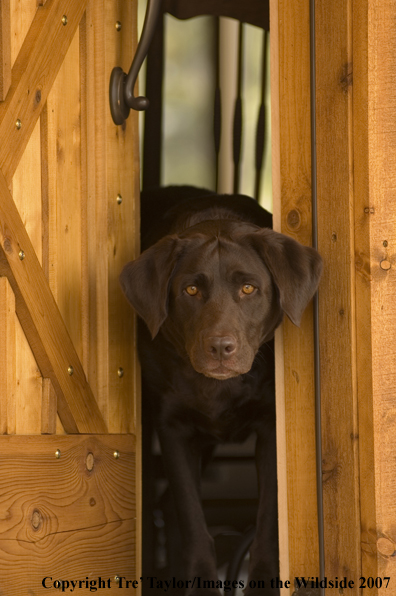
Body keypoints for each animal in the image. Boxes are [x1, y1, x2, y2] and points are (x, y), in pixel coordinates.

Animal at [121, 186, 322, 596]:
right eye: (190, 289)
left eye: (248, 288)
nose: (220, 347)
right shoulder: (173, 427)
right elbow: (192, 516)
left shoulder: (270, 428)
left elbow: (268, 519)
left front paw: (262, 582)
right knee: (167, 503)